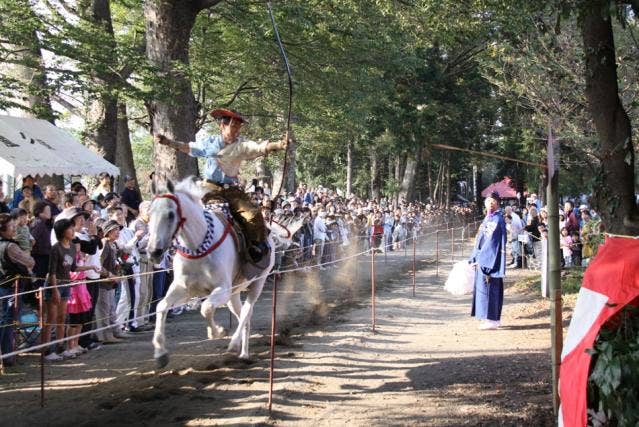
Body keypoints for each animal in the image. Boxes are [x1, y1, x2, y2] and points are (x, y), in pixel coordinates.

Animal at [148, 176, 302, 368]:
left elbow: (206, 308)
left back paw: (235, 344)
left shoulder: (222, 289)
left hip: (257, 283)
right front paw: (160, 354)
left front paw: (219, 332)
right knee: (242, 314)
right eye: (149, 213)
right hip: (234, 293)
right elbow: (161, 307)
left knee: (246, 311)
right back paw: (244, 353)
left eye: (170, 214)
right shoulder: (184, 288)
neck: (198, 247)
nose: (153, 252)